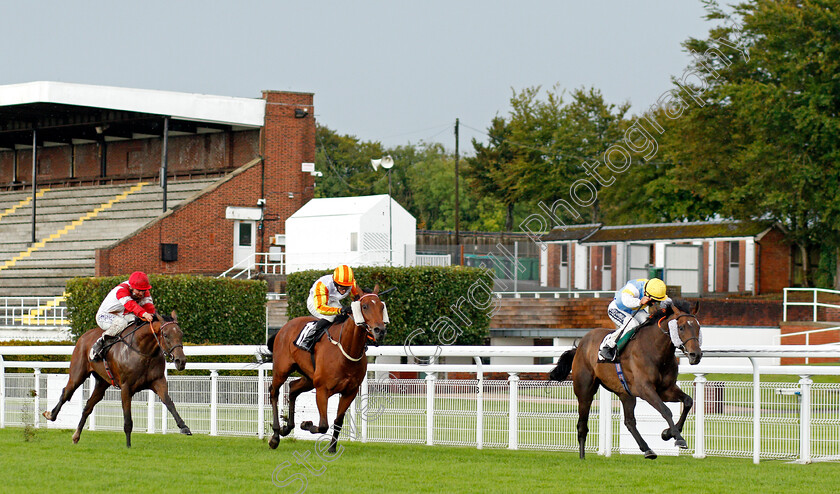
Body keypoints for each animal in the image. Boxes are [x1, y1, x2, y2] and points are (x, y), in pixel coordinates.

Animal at [42, 312, 190, 448]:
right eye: (166, 335)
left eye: (181, 334)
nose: (181, 361)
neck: (143, 351)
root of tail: (84, 336)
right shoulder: (126, 387)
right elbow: (127, 419)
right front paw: (128, 445)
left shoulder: (158, 381)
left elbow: (169, 402)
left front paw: (184, 426)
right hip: (78, 373)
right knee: (66, 392)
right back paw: (51, 415)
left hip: (102, 383)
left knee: (88, 406)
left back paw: (76, 436)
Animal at [264, 286, 388, 452]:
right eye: (365, 306)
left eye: (381, 306)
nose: (380, 330)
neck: (346, 350)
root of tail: (283, 328)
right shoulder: (322, 389)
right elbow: (323, 425)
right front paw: (306, 424)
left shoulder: (350, 391)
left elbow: (338, 421)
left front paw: (332, 448)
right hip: (281, 370)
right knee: (274, 392)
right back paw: (276, 436)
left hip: (309, 378)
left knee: (293, 387)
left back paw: (287, 427)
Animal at [552, 298, 704, 460]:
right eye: (681, 327)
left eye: (698, 327)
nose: (696, 355)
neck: (655, 350)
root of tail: (580, 345)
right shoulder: (645, 389)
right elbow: (666, 410)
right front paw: (678, 438)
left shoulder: (666, 390)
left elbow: (688, 401)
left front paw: (667, 433)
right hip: (585, 391)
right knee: (582, 424)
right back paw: (582, 457)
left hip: (626, 393)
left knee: (629, 421)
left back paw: (648, 450)